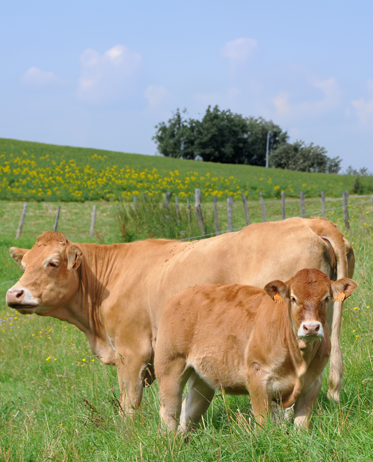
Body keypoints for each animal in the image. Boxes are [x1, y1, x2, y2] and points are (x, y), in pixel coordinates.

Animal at [7, 217, 354, 412]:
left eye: (52, 263)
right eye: (24, 265)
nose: (14, 293)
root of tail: (308, 221)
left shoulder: (131, 351)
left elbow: (129, 403)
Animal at [153, 268, 354, 432]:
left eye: (326, 298)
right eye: (293, 298)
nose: (311, 327)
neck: (299, 359)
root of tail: (181, 295)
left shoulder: (312, 384)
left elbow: (302, 426)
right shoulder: (258, 378)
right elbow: (263, 424)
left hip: (202, 379)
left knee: (188, 414)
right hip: (169, 367)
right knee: (169, 414)